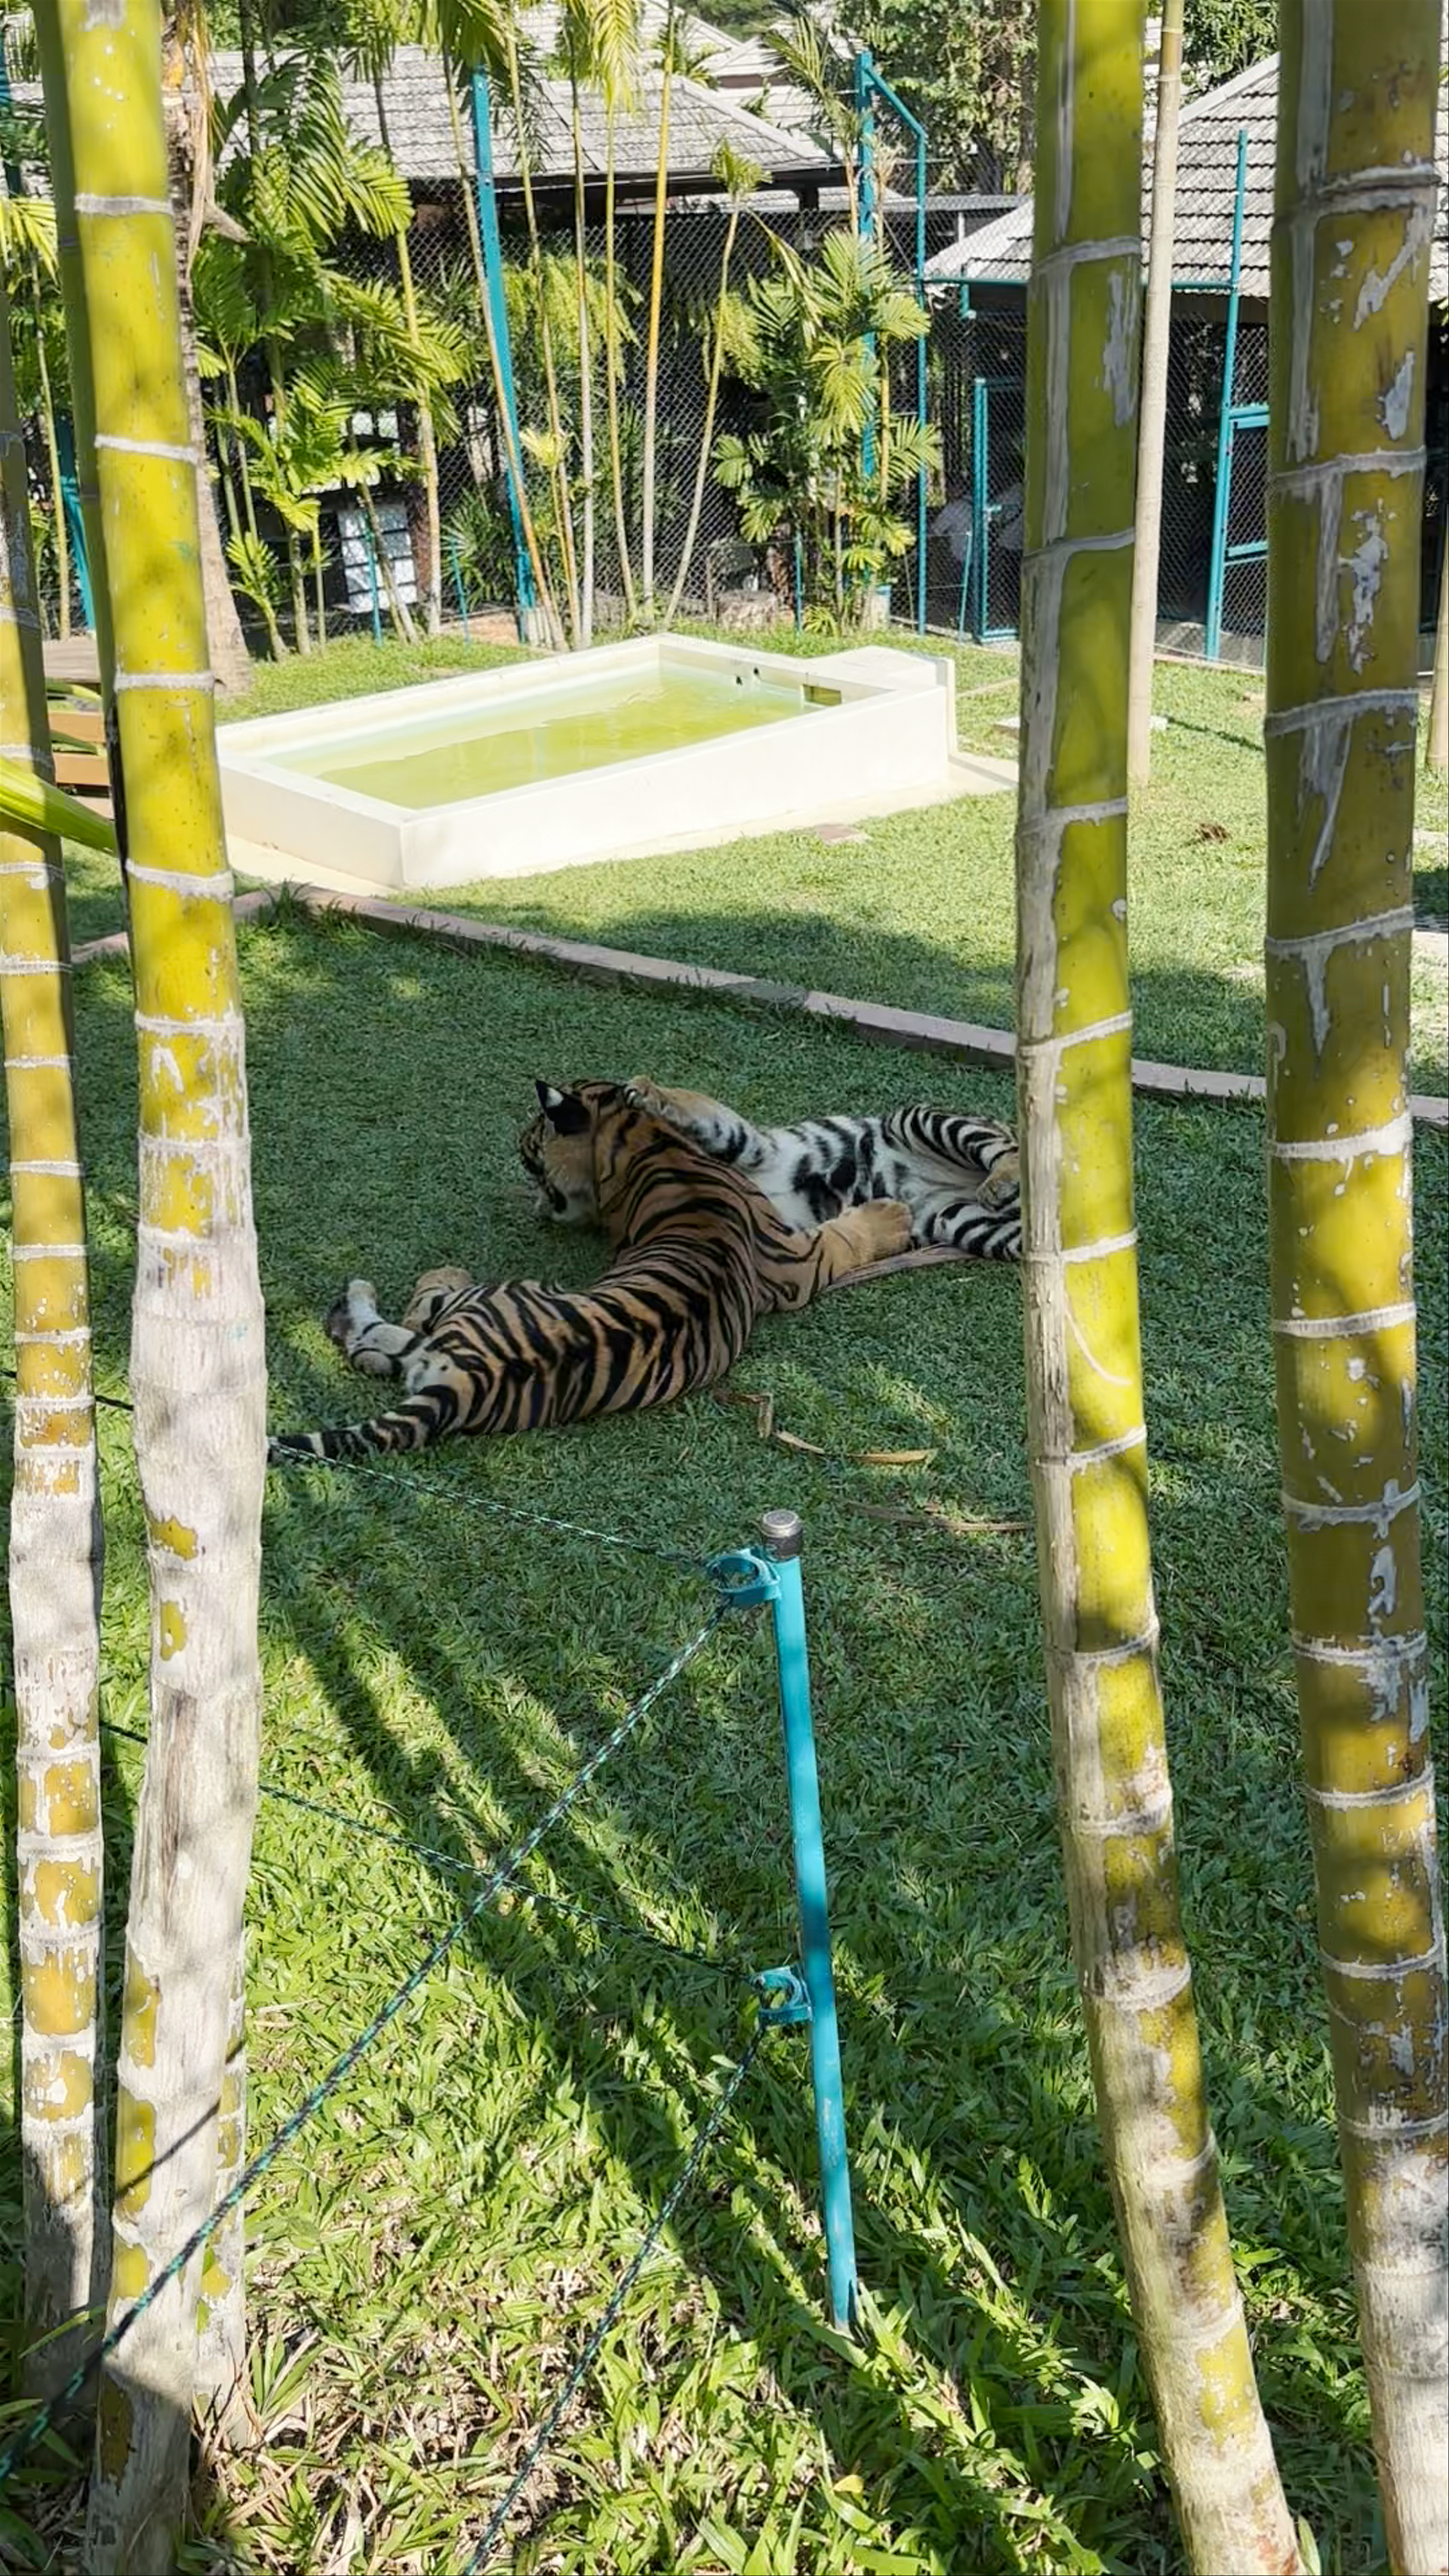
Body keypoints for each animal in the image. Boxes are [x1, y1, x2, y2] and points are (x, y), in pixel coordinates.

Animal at [268, 1079, 912, 1465]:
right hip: (504, 1291)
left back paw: (357, 1304)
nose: (534, 1198)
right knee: (413, 1308)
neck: (643, 1142)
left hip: (450, 1339)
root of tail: (470, 1378)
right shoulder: (793, 1264)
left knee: (381, 1344)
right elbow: (844, 1237)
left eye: (529, 1154)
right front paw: (893, 1217)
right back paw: (421, 1273)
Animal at [521, 1076, 1022, 1261]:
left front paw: (645, 1090)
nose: (538, 1205)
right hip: (966, 1222)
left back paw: (1003, 1180)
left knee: (1008, 1149)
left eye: (530, 1162)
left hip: (916, 1118)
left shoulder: (752, 1144)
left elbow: (696, 1107)